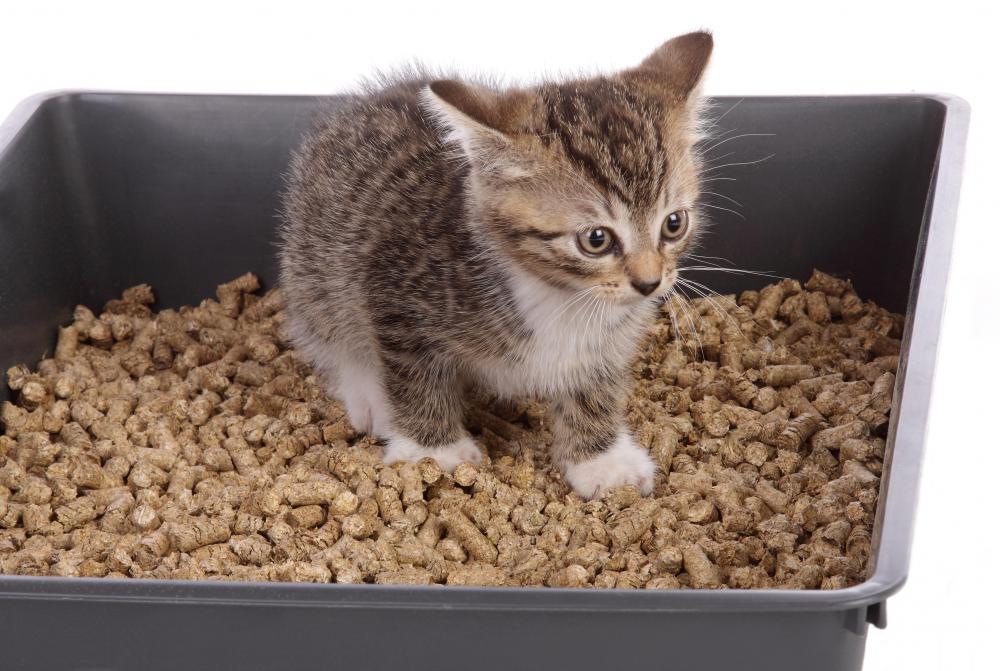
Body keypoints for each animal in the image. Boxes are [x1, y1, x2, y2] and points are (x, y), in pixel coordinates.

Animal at [280, 31, 712, 502]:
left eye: (674, 223)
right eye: (596, 239)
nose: (650, 283)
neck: (560, 295)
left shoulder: (608, 338)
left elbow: (595, 385)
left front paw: (601, 459)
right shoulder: (396, 291)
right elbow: (414, 375)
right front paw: (433, 451)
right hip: (316, 262)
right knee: (333, 327)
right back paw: (368, 394)